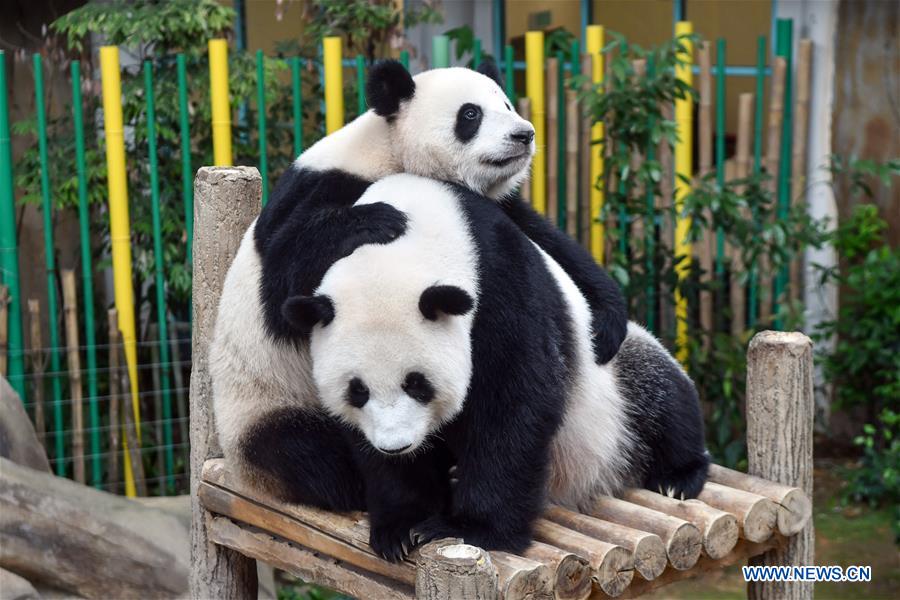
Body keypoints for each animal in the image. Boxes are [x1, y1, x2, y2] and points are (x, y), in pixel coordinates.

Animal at [211, 61, 628, 511]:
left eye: (506, 104)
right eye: (470, 114)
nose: (524, 134)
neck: (391, 149)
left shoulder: (491, 207)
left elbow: (547, 242)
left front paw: (606, 325)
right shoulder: (321, 187)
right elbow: (282, 275)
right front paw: (378, 218)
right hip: (262, 404)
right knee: (306, 452)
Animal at [282, 174, 709, 560]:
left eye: (417, 384)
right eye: (357, 391)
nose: (397, 445)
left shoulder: (499, 282)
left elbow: (514, 404)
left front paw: (469, 528)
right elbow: (365, 444)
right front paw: (402, 527)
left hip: (616, 387)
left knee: (661, 395)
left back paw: (679, 476)